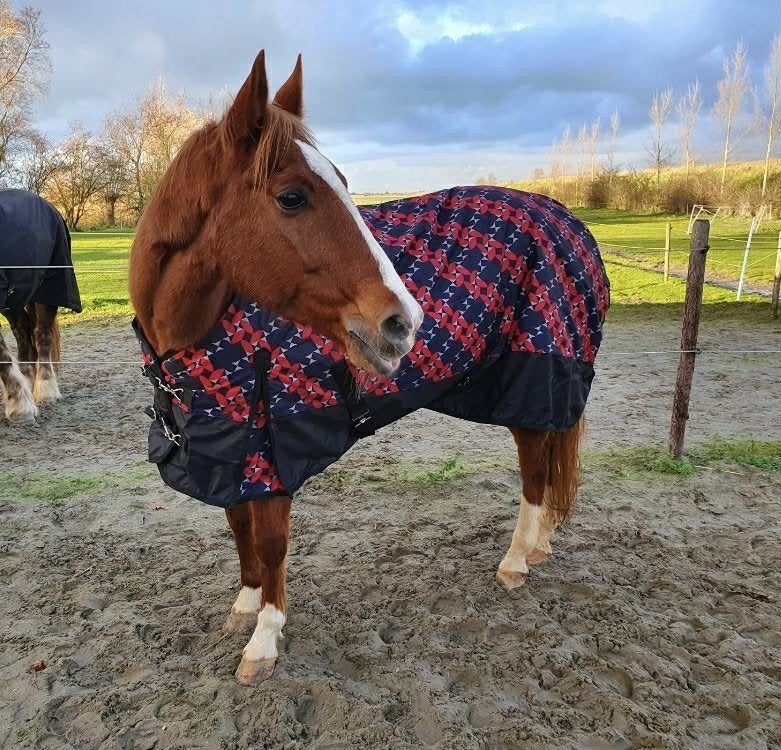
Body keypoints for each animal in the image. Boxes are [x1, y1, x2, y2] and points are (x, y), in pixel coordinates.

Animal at [129, 50, 610, 685]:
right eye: (291, 196)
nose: (407, 318)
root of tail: (568, 221)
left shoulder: (270, 453)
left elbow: (271, 542)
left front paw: (264, 639)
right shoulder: (229, 454)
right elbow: (240, 531)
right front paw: (245, 605)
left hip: (535, 377)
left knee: (535, 468)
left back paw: (515, 561)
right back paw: (541, 545)